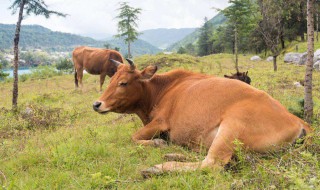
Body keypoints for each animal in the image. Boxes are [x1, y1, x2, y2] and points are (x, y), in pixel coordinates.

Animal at [92, 59, 310, 177]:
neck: (161, 89)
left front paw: (157, 144)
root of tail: (298, 121)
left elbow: (134, 137)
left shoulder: (160, 122)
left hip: (231, 127)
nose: (97, 104)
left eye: (123, 83)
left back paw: (158, 167)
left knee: (211, 163)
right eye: (110, 80)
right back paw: (174, 154)